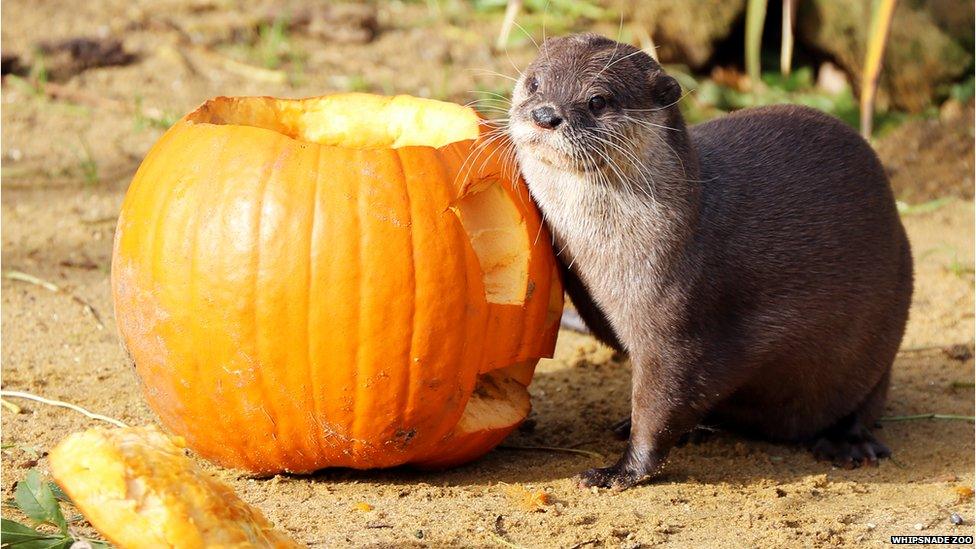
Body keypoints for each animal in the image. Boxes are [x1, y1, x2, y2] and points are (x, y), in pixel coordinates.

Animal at [508, 34, 912, 488]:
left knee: (865, 398)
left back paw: (848, 441)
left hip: (885, 329)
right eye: (535, 83)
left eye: (598, 100)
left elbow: (665, 402)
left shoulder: (680, 328)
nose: (545, 115)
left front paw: (620, 471)